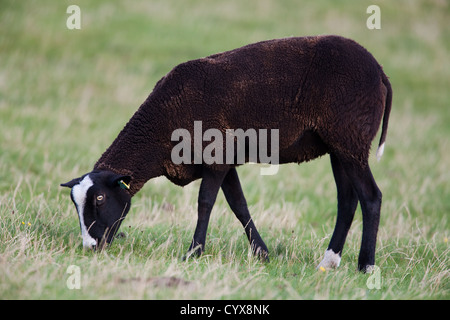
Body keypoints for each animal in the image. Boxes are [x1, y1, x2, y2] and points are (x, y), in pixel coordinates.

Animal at [61, 35, 392, 272]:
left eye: (100, 198)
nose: (91, 247)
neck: (159, 131)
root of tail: (379, 71)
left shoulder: (216, 155)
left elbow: (205, 203)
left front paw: (193, 253)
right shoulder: (223, 161)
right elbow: (239, 205)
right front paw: (262, 254)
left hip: (350, 139)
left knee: (371, 197)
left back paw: (366, 266)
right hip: (339, 146)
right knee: (347, 201)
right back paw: (328, 262)